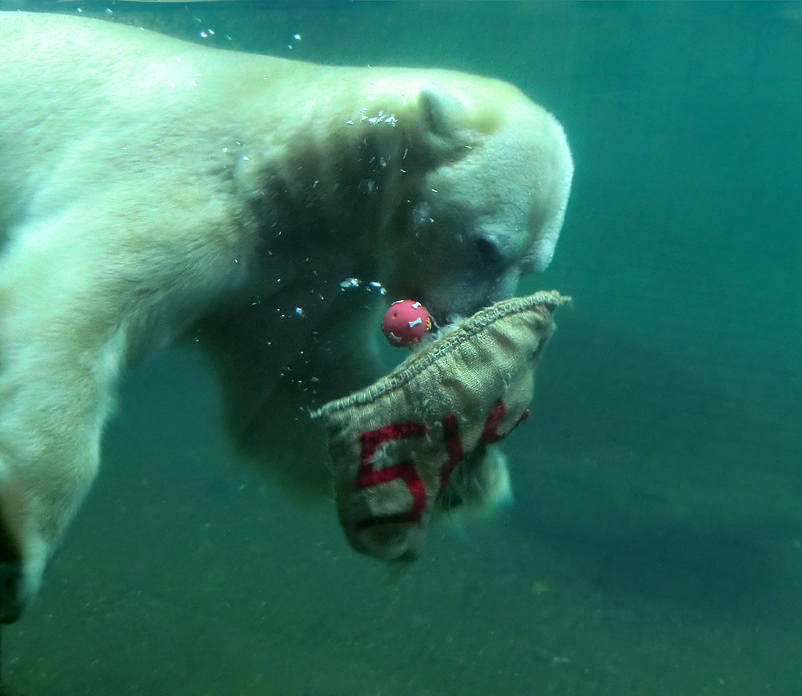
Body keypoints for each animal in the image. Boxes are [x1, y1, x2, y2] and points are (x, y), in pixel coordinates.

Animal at [0, 9, 572, 620]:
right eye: (487, 247)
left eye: (532, 266)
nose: (472, 314)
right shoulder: (192, 177)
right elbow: (74, 294)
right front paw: (19, 545)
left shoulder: (304, 279)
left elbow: (291, 390)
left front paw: (468, 467)